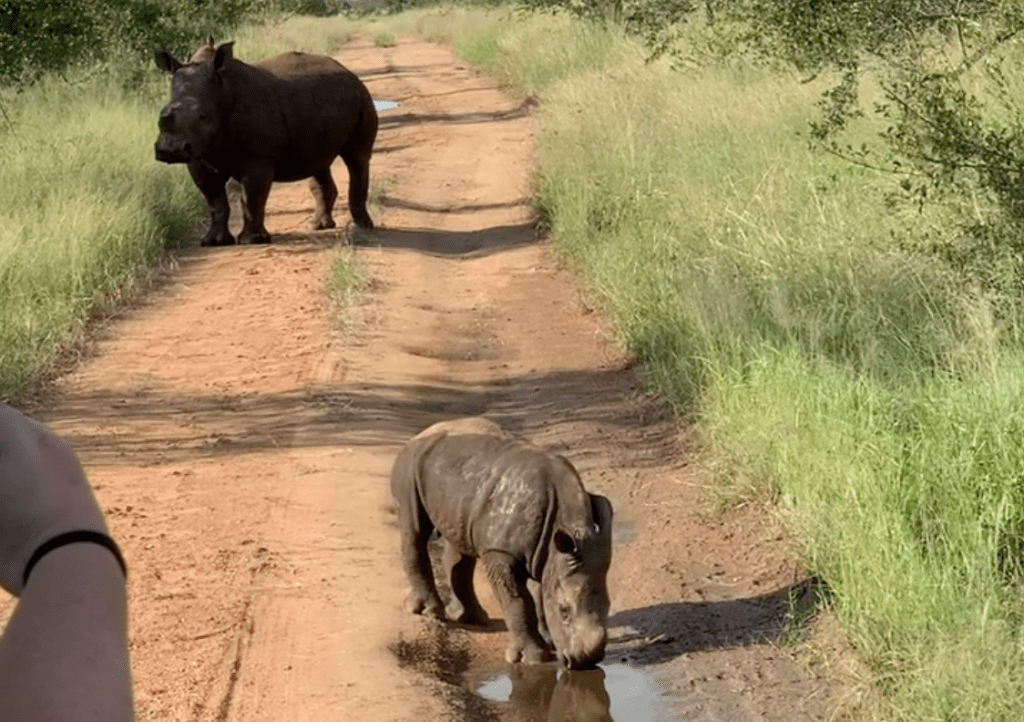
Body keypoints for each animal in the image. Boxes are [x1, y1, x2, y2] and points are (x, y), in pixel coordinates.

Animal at [151, 40, 376, 246]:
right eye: (161, 116)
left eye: (202, 116)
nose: (170, 150)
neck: (222, 92)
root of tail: (348, 72)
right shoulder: (198, 155)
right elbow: (215, 201)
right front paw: (212, 242)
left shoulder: (259, 154)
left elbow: (252, 197)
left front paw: (251, 240)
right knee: (318, 162)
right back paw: (317, 226)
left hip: (363, 97)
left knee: (357, 159)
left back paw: (362, 227)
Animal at [389, 419, 614, 667]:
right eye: (564, 610)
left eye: (610, 605)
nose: (585, 662)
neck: (566, 521)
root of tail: (424, 433)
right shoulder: (500, 552)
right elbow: (518, 600)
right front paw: (532, 658)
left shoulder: (548, 553)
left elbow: (540, 596)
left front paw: (549, 642)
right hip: (411, 463)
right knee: (414, 527)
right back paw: (430, 612)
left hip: (457, 479)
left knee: (459, 540)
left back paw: (471, 618)